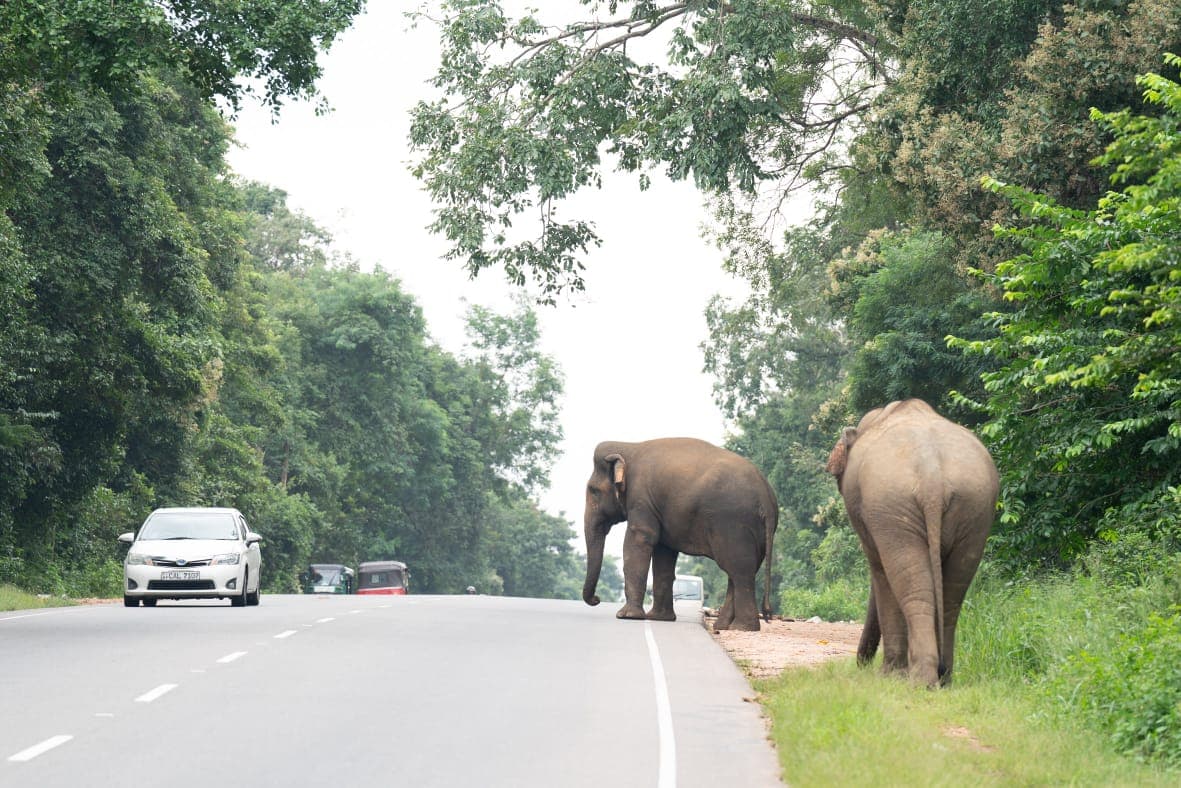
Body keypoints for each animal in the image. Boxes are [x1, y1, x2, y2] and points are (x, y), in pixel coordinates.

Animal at [582, 438, 778, 631]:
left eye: (594, 491)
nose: (597, 599)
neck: (629, 446)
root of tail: (767, 498)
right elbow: (664, 552)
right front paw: (659, 618)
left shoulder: (641, 499)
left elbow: (640, 540)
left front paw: (627, 616)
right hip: (756, 532)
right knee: (740, 571)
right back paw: (723, 626)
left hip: (734, 524)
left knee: (739, 571)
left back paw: (742, 627)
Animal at [825, 399, 998, 687]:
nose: (860, 665)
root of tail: (932, 476)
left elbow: (880, 572)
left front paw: (889, 676)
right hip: (975, 509)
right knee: (952, 592)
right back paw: (942, 678)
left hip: (893, 505)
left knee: (909, 583)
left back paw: (920, 680)